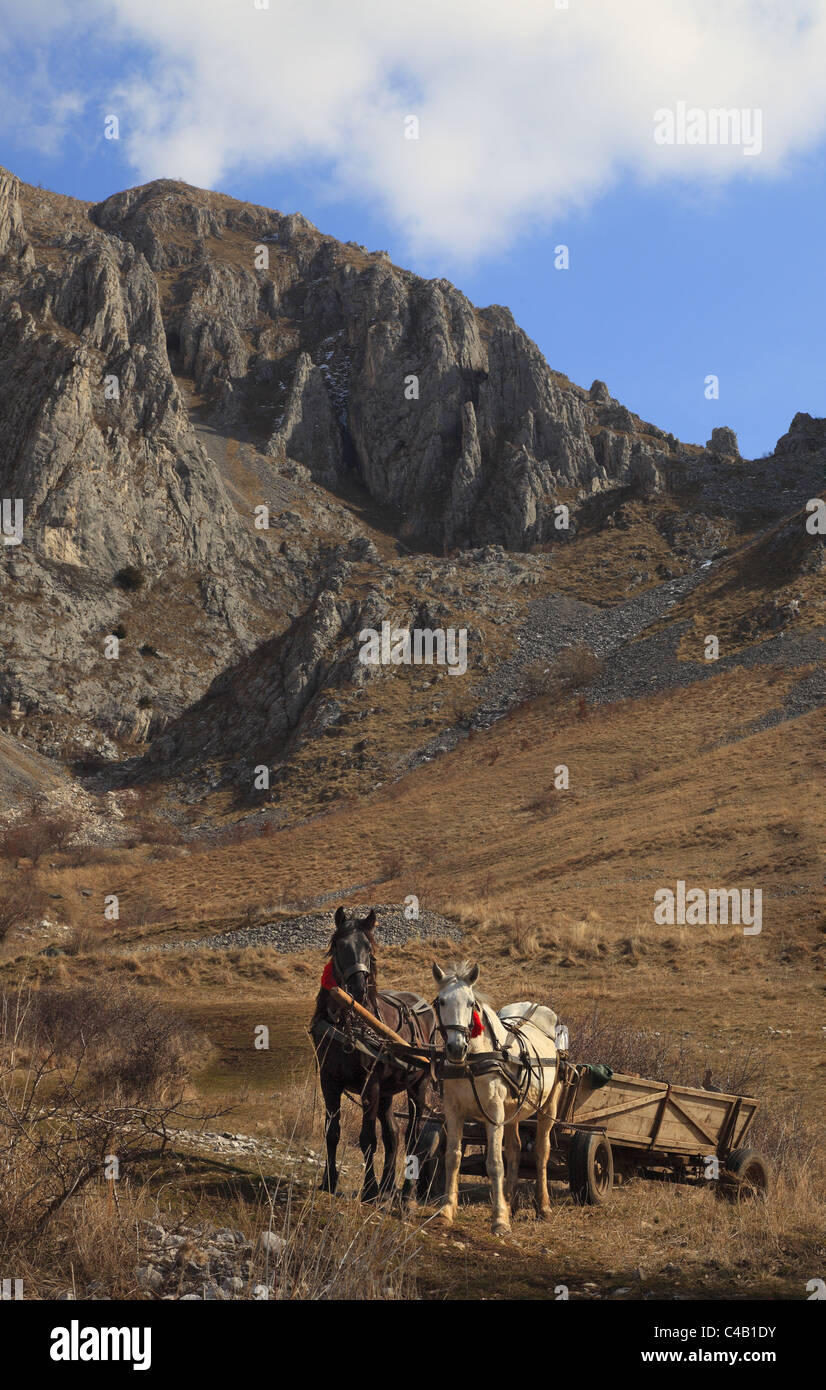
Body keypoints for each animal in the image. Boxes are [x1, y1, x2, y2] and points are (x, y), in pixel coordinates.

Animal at [310, 906, 436, 1200]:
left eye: (368, 947)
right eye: (340, 945)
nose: (358, 988)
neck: (348, 1024)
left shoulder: (371, 1085)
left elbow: (367, 1139)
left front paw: (369, 1189)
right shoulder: (328, 1080)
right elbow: (332, 1132)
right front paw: (329, 1181)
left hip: (418, 1086)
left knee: (413, 1136)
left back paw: (406, 1191)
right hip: (388, 1093)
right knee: (393, 1135)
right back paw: (388, 1186)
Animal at [431, 961, 559, 1234]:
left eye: (471, 1003)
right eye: (442, 1001)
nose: (456, 1048)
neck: (473, 1060)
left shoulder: (494, 1112)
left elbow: (495, 1163)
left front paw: (499, 1219)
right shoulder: (453, 1110)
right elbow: (452, 1157)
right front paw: (446, 1211)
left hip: (548, 1107)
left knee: (541, 1151)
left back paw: (543, 1207)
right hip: (512, 1113)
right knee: (515, 1149)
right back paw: (509, 1201)